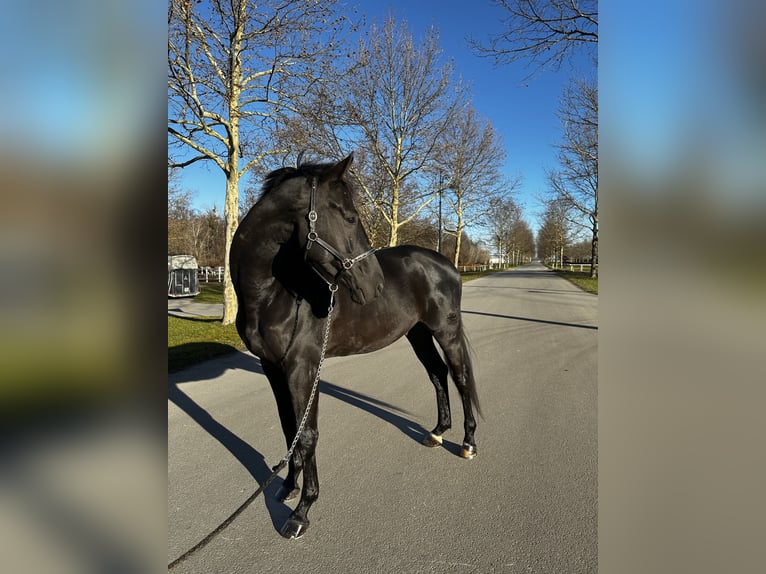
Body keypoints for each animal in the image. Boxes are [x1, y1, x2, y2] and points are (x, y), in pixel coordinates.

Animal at [230, 153, 480, 540]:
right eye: (349, 217)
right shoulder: (273, 368)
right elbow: (289, 428)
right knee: (438, 375)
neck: (274, 294)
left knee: (461, 377)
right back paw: (438, 433)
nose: (375, 285)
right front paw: (288, 486)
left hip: (446, 331)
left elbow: (307, 434)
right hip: (418, 334)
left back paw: (468, 444)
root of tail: (446, 264)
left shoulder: (304, 368)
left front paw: (302, 511)